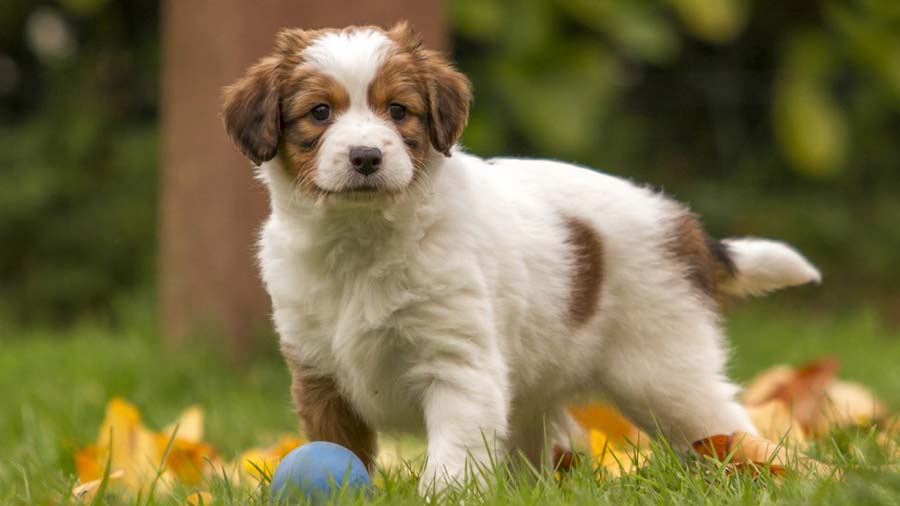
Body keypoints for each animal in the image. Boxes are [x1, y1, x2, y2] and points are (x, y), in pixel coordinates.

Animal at [221, 22, 820, 490]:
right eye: (320, 113)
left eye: (398, 110)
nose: (366, 156)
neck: (361, 241)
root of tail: (683, 223)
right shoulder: (318, 375)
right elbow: (340, 449)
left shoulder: (458, 368)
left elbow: (453, 460)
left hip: (666, 373)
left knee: (725, 424)